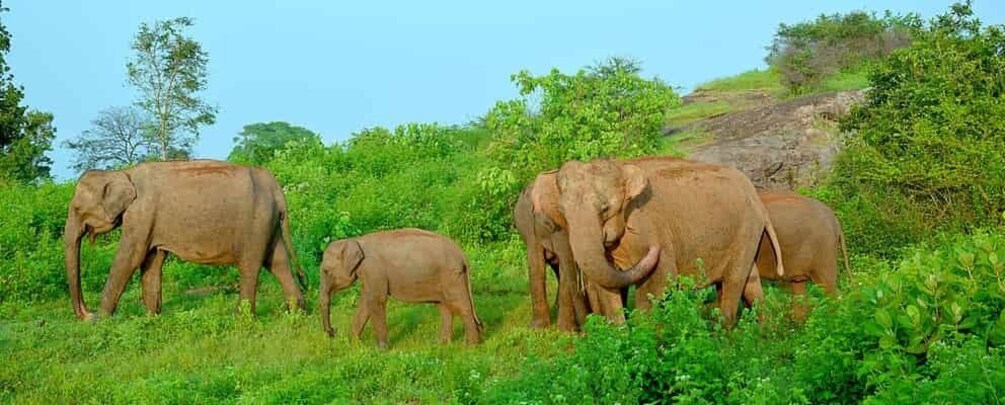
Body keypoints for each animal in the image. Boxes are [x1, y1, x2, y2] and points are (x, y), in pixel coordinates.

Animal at [63, 159, 305, 319]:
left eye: (76, 209)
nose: (86, 313)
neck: (123, 173)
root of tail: (276, 189)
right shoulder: (150, 222)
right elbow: (152, 262)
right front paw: (152, 319)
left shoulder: (141, 214)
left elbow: (129, 258)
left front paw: (101, 321)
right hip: (269, 224)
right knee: (278, 261)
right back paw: (296, 313)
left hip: (255, 223)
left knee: (250, 266)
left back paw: (240, 319)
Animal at [317, 228, 482, 349]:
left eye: (326, 271)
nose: (333, 331)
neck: (356, 240)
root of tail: (462, 254)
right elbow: (366, 302)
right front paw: (352, 344)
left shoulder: (373, 269)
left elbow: (376, 301)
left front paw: (381, 350)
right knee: (444, 307)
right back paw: (440, 344)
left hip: (451, 276)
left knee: (460, 305)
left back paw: (470, 346)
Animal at [558, 157, 783, 327]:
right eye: (563, 213)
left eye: (605, 208)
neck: (622, 166)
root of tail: (755, 195)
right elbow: (607, 287)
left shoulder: (653, 229)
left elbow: (658, 281)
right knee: (750, 281)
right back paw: (765, 331)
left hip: (747, 227)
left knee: (734, 280)